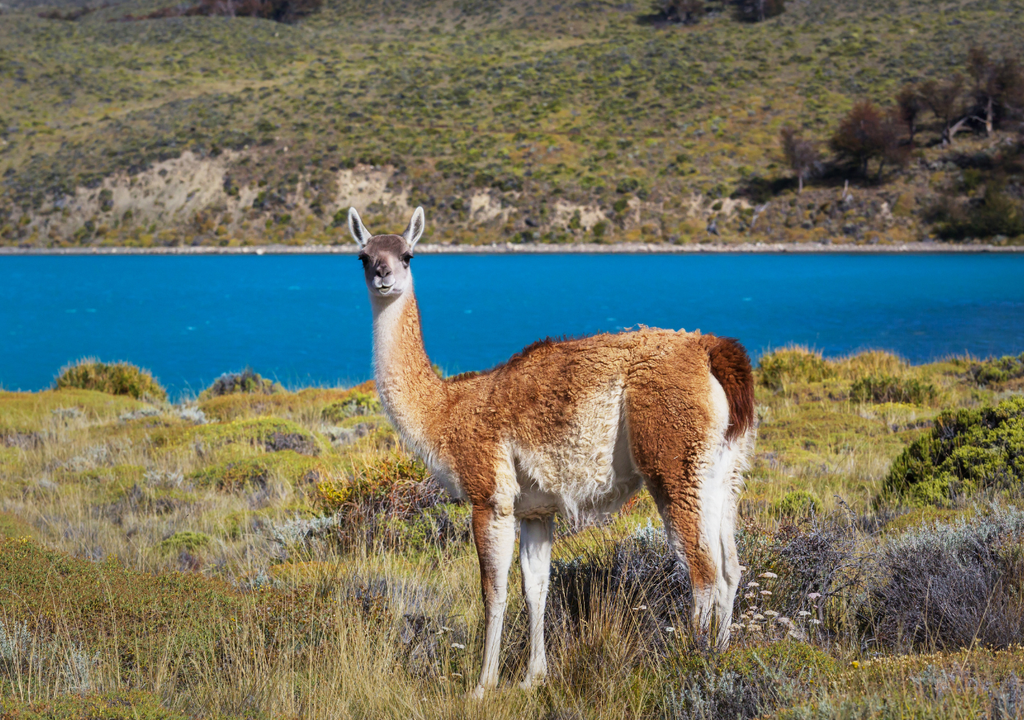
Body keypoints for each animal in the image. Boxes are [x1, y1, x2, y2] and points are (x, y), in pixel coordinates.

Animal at [347, 207, 756, 696]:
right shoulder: (534, 510)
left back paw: (691, 661)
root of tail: (710, 349)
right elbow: (536, 588)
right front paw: (532, 678)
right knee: (730, 568)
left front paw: (483, 685)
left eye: (408, 255)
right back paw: (722, 654)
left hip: (673, 459)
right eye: (362, 256)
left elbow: (493, 590)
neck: (446, 409)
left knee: (702, 570)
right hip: (723, 468)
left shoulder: (489, 495)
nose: (383, 276)